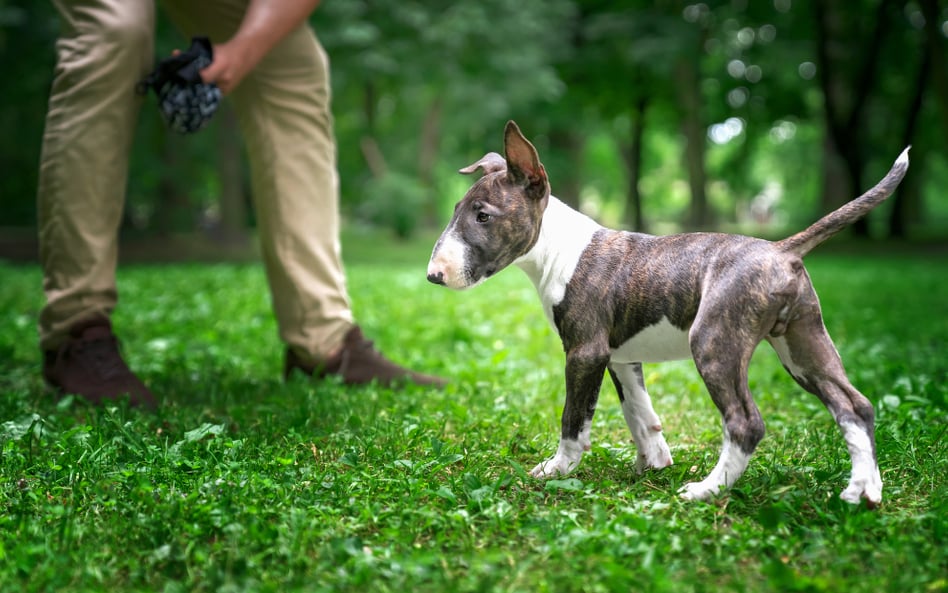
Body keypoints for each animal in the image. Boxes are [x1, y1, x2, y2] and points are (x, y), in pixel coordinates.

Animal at [426, 119, 908, 504]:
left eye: (483, 216)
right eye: (457, 211)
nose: (434, 275)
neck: (558, 249)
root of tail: (781, 250)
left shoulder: (585, 353)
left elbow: (574, 420)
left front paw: (556, 470)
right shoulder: (619, 357)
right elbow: (639, 412)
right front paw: (653, 462)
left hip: (714, 343)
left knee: (746, 423)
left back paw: (706, 491)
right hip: (803, 344)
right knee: (855, 405)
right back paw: (864, 490)